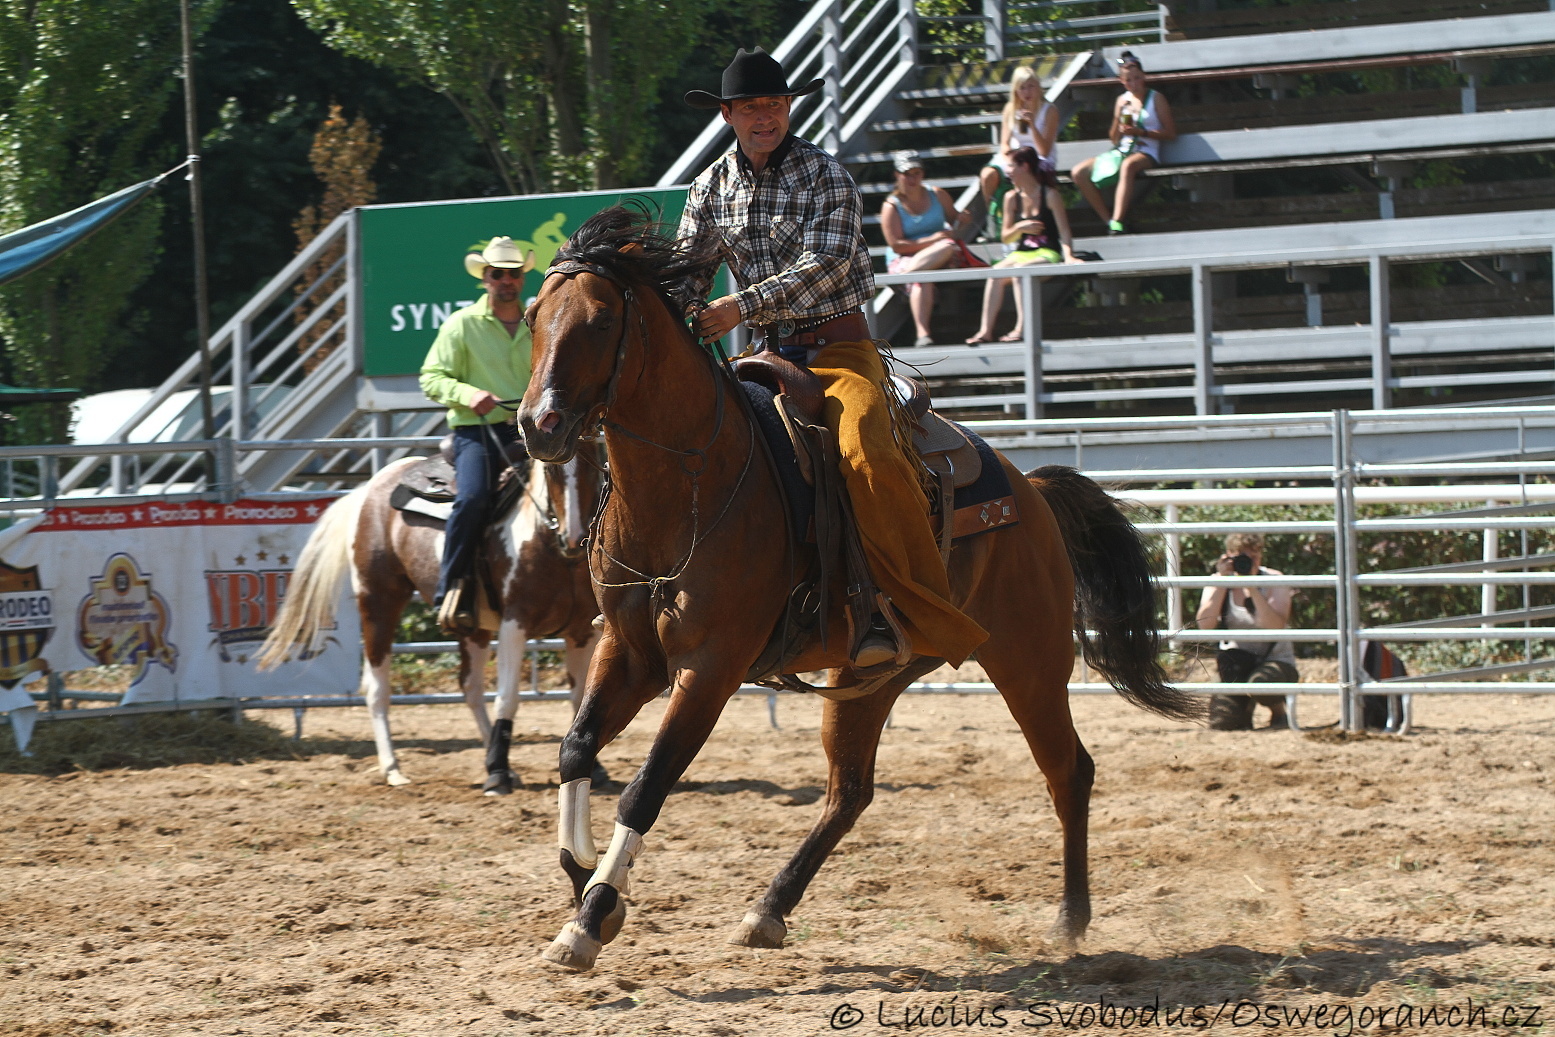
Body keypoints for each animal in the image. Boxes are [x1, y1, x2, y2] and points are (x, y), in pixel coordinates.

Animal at [255, 450, 600, 789]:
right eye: (551, 471)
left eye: (595, 463)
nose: (574, 537)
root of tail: (368, 489)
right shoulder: (515, 623)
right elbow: (508, 698)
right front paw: (499, 773)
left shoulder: (582, 632)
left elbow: (581, 699)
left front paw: (591, 768)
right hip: (379, 602)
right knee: (377, 688)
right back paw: (393, 768)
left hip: (471, 626)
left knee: (470, 686)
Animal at [519, 208, 1200, 976]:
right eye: (535, 317)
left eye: (602, 320)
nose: (538, 424)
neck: (692, 480)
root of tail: (1029, 489)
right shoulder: (630, 649)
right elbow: (574, 748)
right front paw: (584, 876)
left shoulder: (709, 667)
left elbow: (645, 787)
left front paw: (591, 917)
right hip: (871, 676)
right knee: (850, 792)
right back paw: (769, 908)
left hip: (1028, 660)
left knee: (1069, 771)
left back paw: (1070, 919)